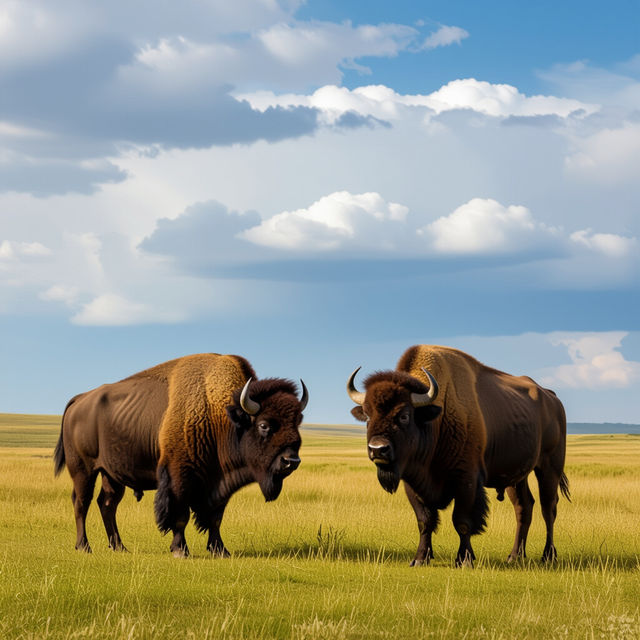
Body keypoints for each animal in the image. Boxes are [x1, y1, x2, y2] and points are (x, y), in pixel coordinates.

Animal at [54, 353, 308, 557]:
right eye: (264, 425)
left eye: (297, 422)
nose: (291, 461)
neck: (221, 416)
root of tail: (80, 399)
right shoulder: (179, 477)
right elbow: (180, 515)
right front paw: (180, 550)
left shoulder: (220, 483)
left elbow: (216, 517)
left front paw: (220, 550)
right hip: (83, 470)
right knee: (81, 502)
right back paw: (84, 546)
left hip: (111, 474)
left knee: (107, 503)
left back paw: (119, 547)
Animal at [347, 344, 569, 567]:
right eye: (367, 415)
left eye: (404, 415)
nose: (377, 449)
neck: (435, 418)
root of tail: (552, 398)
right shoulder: (412, 483)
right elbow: (425, 521)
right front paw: (420, 559)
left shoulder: (466, 481)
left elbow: (462, 522)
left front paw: (464, 560)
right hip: (516, 478)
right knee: (524, 508)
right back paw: (514, 556)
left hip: (549, 468)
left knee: (548, 508)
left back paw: (548, 556)